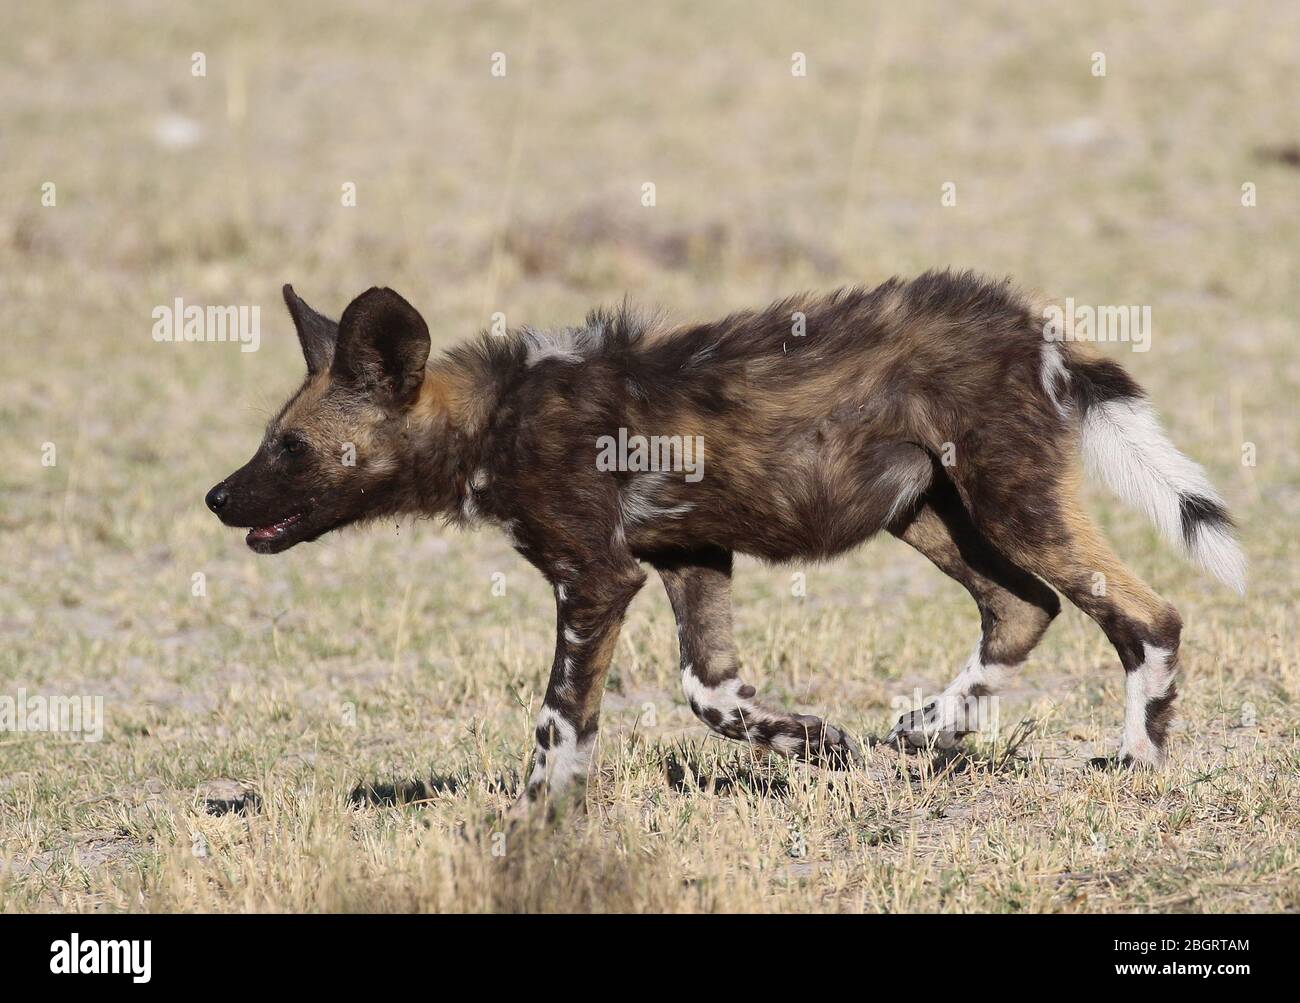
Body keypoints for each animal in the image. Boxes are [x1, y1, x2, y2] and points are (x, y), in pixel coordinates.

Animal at [208, 272, 1242, 815]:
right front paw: (813, 743)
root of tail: (1033, 325)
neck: (494, 419)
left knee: (1147, 614)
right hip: (928, 512)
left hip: (1012, 504)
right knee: (1024, 606)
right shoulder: (685, 558)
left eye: (290, 447)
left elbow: (558, 721)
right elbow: (711, 694)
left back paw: (1137, 758)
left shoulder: (596, 580)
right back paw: (929, 727)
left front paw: (535, 822)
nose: (217, 495)